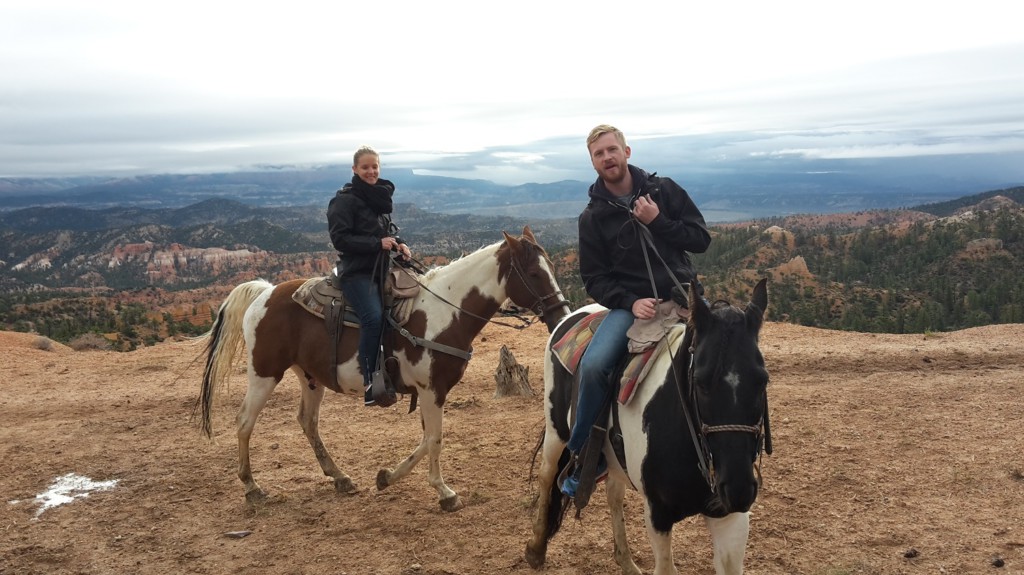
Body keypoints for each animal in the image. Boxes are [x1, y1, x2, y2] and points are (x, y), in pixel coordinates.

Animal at [195, 226, 573, 507]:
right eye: (534, 273)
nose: (562, 315)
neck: (444, 313)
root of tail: (265, 292)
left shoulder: (429, 391)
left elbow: (426, 439)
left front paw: (387, 477)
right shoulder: (432, 390)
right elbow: (434, 438)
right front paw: (444, 493)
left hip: (310, 377)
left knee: (307, 421)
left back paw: (340, 477)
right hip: (264, 373)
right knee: (245, 421)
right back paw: (252, 487)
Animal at [528, 278, 770, 572]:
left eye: (763, 380)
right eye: (700, 383)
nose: (738, 490)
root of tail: (571, 316)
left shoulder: (729, 517)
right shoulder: (658, 514)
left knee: (613, 494)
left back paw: (626, 562)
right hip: (557, 433)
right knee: (547, 475)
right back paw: (536, 548)